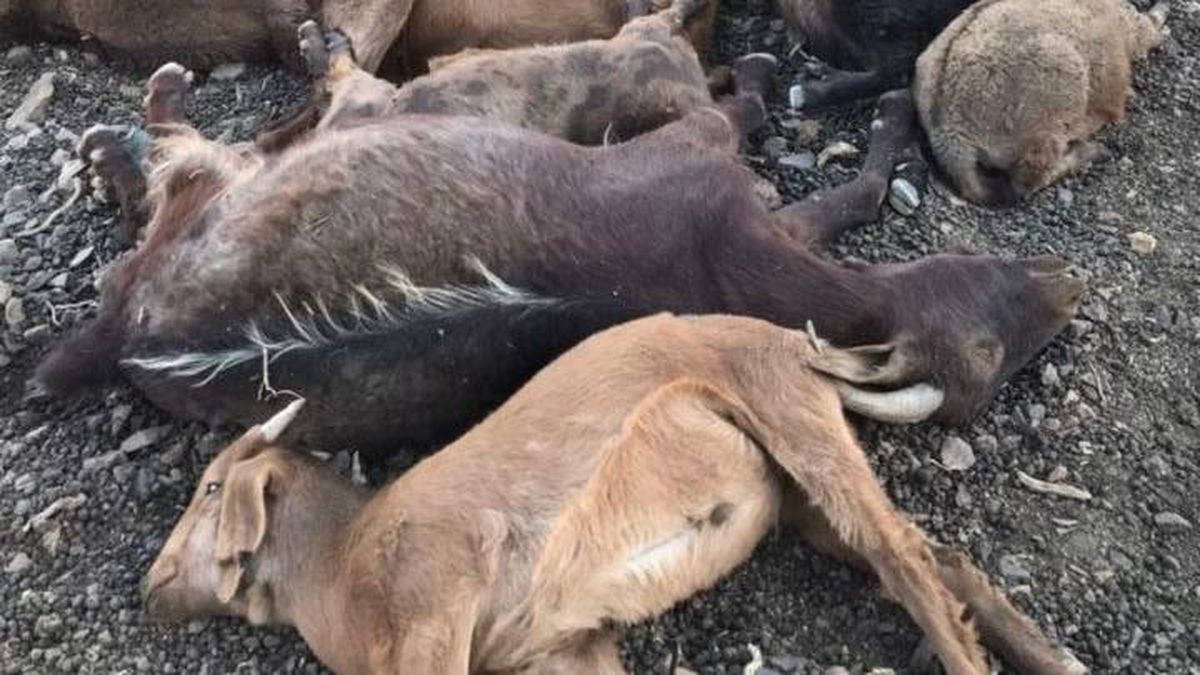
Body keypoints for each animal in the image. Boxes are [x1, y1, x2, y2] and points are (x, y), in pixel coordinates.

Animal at [35, 59, 1083, 452]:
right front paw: (866, 103)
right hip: (204, 207)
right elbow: (763, 126)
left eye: (988, 371)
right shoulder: (696, 165)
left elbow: (835, 194)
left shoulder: (743, 223)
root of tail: (121, 340)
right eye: (988, 343)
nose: (1066, 281)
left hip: (196, 218)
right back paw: (134, 130)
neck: (714, 274)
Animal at [144, 315, 1087, 675]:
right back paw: (1054, 657)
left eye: (213, 484)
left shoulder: (434, 602)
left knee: (905, 558)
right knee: (934, 555)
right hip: (802, 499)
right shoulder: (562, 644)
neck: (341, 564)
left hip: (794, 418)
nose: (151, 584)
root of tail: (792, 340)